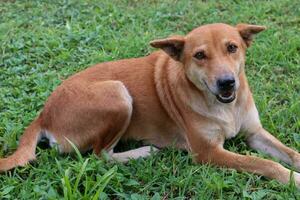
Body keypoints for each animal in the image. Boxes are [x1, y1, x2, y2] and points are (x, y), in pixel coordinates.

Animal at [0, 23, 300, 188]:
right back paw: (144, 152)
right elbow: (265, 164)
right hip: (118, 94)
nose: (227, 83)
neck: (225, 107)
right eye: (199, 55)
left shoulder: (255, 133)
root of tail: (44, 113)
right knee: (100, 154)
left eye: (232, 47)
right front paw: (294, 180)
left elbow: (290, 153)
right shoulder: (207, 153)